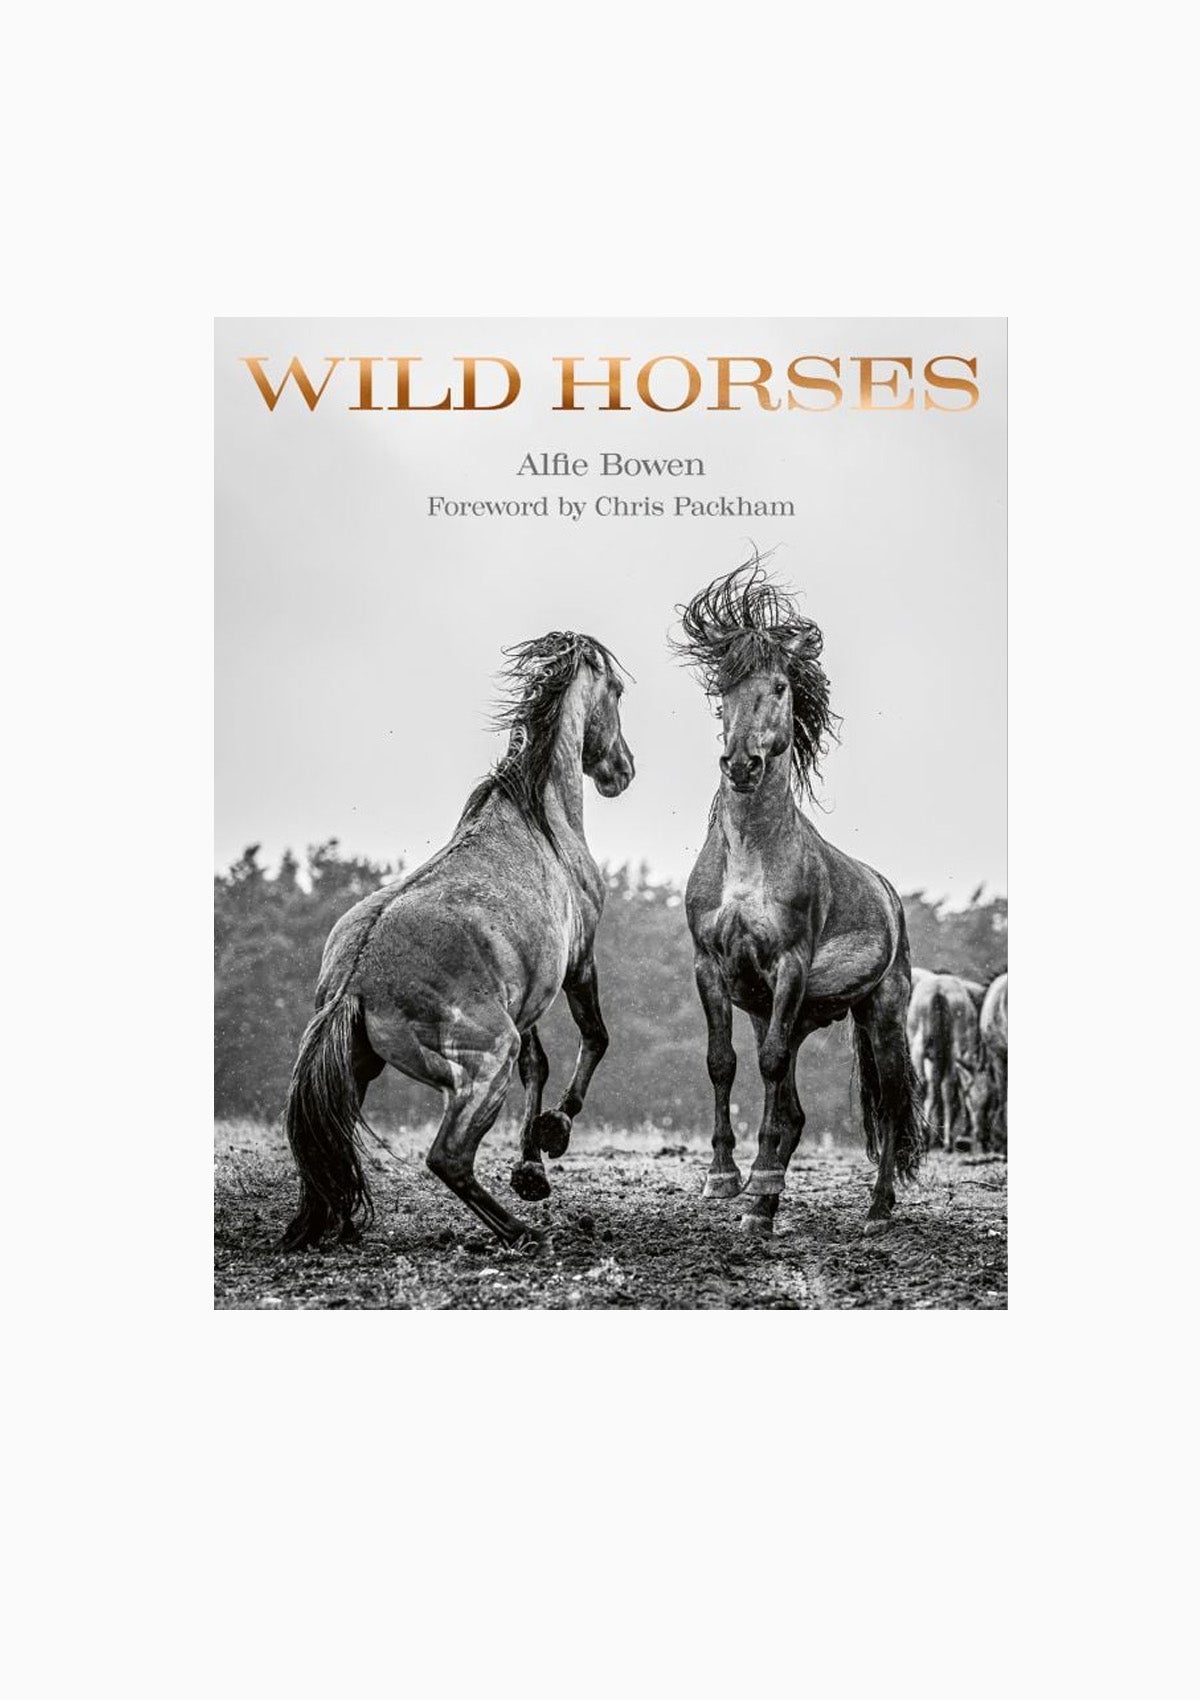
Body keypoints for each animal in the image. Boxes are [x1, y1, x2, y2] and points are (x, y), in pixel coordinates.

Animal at [279, 631, 635, 1252]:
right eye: (615, 690)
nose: (624, 769)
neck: (541, 816)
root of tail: (356, 978)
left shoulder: (528, 994)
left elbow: (538, 1066)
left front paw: (531, 1170)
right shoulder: (579, 962)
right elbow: (595, 1038)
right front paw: (555, 1131)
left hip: (357, 1069)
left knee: (328, 1148)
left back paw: (335, 1226)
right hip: (485, 1060)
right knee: (447, 1158)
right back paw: (523, 1234)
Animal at [675, 558, 924, 1236]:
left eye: (782, 687)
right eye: (723, 689)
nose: (741, 765)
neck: (749, 857)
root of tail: (889, 896)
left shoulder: (789, 964)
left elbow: (768, 1066)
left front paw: (758, 1187)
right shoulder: (711, 967)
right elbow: (722, 1062)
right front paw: (725, 1180)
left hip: (881, 1012)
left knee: (890, 1102)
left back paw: (877, 1208)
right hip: (791, 1009)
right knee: (794, 1107)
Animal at [907, 969, 988, 1152]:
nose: (980, 1134)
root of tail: (939, 991)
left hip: (919, 1045)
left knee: (926, 1085)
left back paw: (928, 1135)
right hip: (956, 1042)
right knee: (946, 1087)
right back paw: (946, 1141)